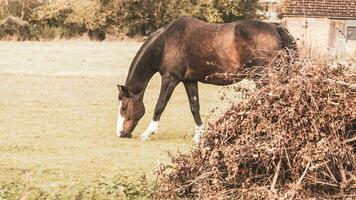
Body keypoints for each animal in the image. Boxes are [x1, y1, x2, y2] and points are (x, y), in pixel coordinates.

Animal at [115, 16, 296, 142]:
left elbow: (160, 106)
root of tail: (275, 27)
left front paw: (147, 133)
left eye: (124, 107)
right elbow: (194, 107)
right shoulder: (189, 81)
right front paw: (198, 137)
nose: (121, 133)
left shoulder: (170, 78)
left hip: (264, 77)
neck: (165, 43)